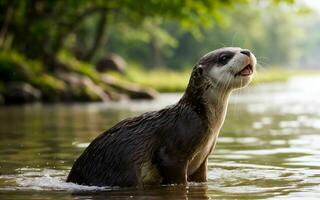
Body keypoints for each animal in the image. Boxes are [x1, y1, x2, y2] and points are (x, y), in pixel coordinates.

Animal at [66, 47, 256, 188]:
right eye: (224, 57)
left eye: (239, 47)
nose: (246, 51)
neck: (198, 115)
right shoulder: (174, 147)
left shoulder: (203, 160)